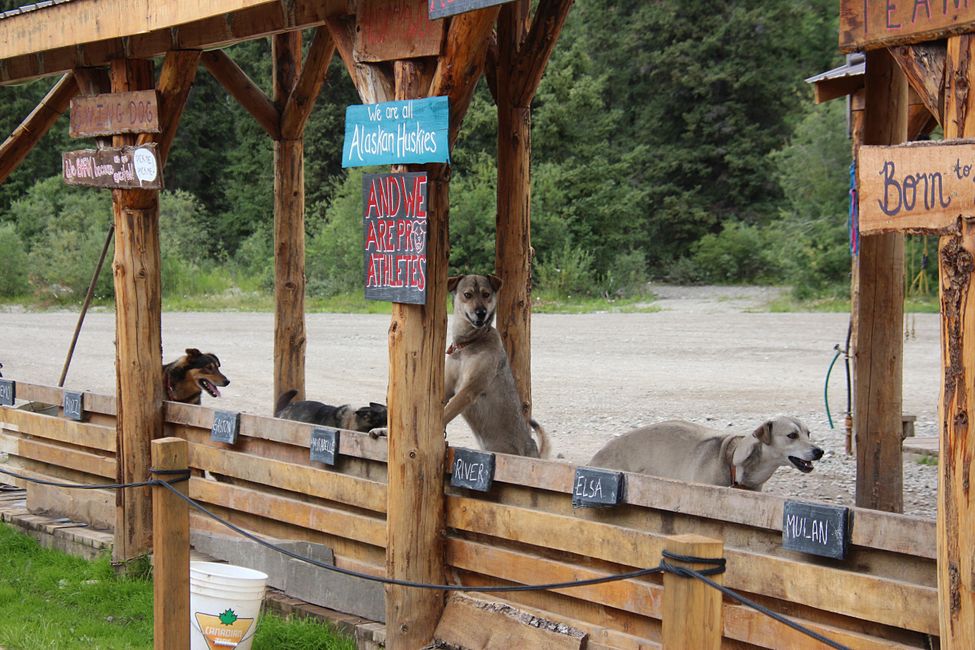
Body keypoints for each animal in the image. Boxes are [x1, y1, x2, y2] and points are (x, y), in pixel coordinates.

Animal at [448, 274, 552, 456]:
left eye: (486, 294)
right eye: (467, 294)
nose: (481, 313)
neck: (469, 343)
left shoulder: (468, 390)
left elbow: (445, 411)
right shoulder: (448, 386)